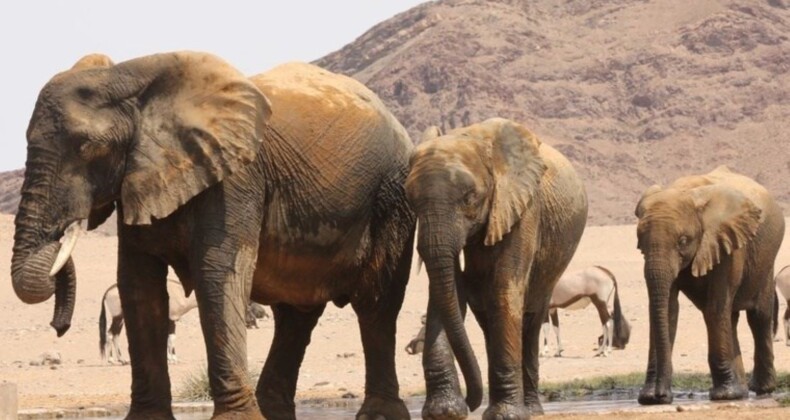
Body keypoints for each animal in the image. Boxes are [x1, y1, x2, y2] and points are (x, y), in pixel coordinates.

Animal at [10, 50, 414, 418]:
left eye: (88, 146)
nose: (58, 327)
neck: (134, 78)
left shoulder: (235, 177)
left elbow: (217, 272)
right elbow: (138, 285)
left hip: (391, 198)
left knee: (375, 304)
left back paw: (378, 413)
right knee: (296, 314)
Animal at [636, 166, 784, 406]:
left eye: (683, 241)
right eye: (640, 242)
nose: (661, 395)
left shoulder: (727, 243)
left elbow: (715, 308)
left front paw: (723, 396)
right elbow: (668, 309)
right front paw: (649, 399)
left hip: (766, 259)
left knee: (758, 316)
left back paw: (761, 390)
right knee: (730, 319)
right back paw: (741, 392)